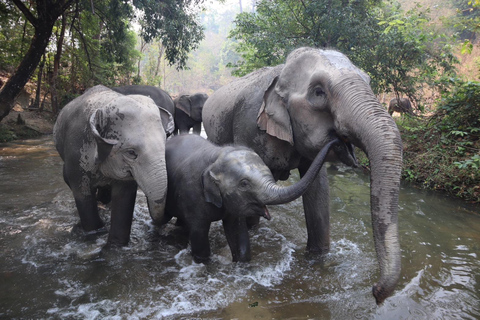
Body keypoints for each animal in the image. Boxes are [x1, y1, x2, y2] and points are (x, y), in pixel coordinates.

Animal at [54, 84, 174, 245]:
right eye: (131, 152)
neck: (105, 105)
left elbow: (123, 197)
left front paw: (116, 244)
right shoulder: (76, 151)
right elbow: (82, 192)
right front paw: (96, 232)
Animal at [163, 134, 344, 264]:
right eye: (244, 184)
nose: (337, 140)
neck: (217, 155)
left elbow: (238, 233)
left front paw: (242, 264)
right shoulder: (192, 194)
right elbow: (199, 237)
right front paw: (205, 263)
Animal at [201, 46, 404, 304]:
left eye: (368, 81)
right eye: (318, 92)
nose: (376, 292)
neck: (280, 75)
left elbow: (317, 190)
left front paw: (318, 258)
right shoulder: (246, 125)